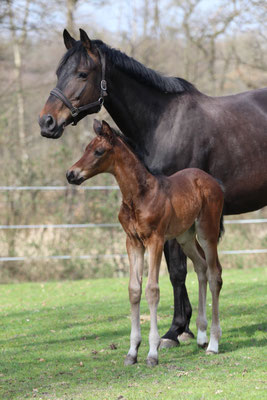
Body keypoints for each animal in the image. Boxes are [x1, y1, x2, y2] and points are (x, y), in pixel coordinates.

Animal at [66, 119, 224, 366]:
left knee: (215, 273)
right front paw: (132, 352)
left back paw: (214, 344)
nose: (71, 174)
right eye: (85, 148)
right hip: (185, 236)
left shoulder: (155, 240)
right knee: (201, 268)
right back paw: (201, 337)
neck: (139, 195)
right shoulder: (132, 242)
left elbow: (152, 290)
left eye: (99, 151)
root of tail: (213, 182)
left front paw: (152, 352)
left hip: (207, 230)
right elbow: (134, 290)